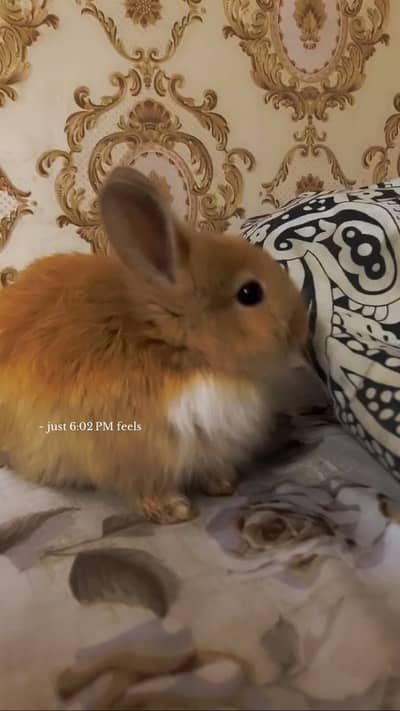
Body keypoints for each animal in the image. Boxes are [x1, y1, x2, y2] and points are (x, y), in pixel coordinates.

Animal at [0, 167, 308, 524]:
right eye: (250, 293)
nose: (302, 327)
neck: (169, 343)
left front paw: (222, 485)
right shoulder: (135, 451)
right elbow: (145, 488)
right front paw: (175, 510)